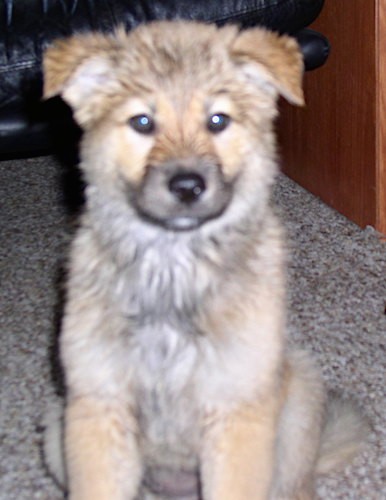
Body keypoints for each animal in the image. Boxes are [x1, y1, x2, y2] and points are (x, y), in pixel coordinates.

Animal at [43, 20, 368, 500]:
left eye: (218, 121)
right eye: (142, 122)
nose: (187, 185)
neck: (173, 267)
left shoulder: (236, 408)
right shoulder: (98, 405)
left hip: (299, 402)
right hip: (55, 430)